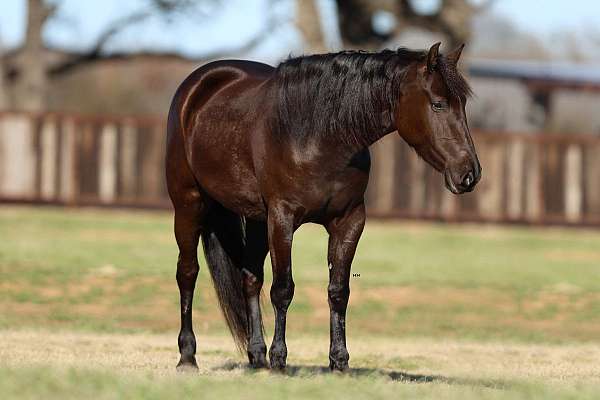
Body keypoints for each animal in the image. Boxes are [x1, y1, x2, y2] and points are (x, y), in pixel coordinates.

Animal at [165, 43, 482, 372]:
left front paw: (339, 361)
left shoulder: (349, 221)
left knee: (250, 278)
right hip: (189, 204)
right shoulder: (282, 218)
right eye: (438, 104)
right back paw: (188, 356)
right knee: (187, 273)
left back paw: (257, 357)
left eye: (462, 104)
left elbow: (338, 290)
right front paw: (280, 359)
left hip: (256, 220)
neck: (320, 136)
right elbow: (283, 289)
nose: (469, 174)